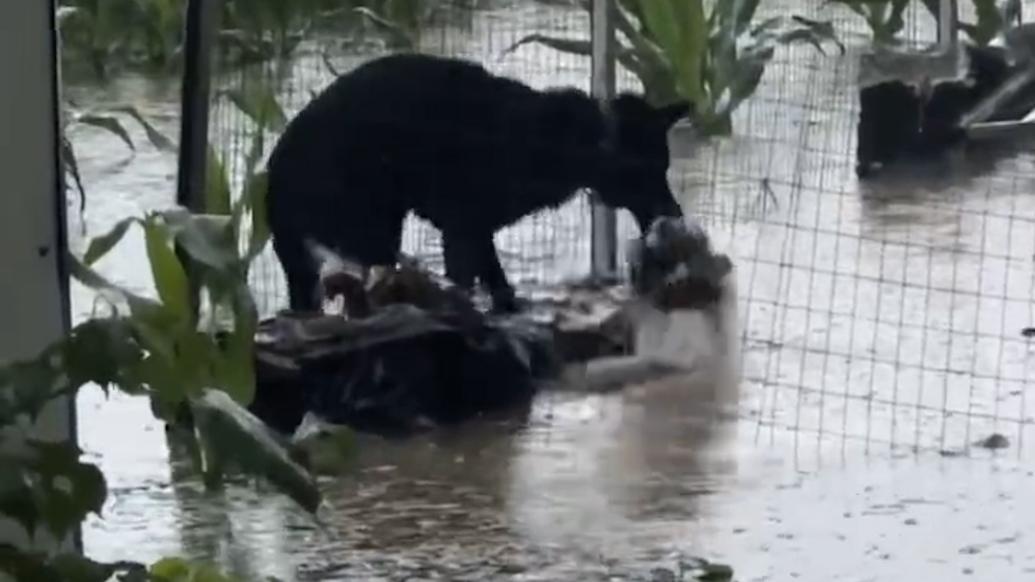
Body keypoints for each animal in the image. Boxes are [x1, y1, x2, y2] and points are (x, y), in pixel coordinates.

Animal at [267, 52, 687, 310]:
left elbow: (495, 279)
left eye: (664, 167)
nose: (676, 214)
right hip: (371, 232)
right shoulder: (463, 229)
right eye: (649, 171)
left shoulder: (473, 232)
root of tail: (275, 170)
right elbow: (473, 280)